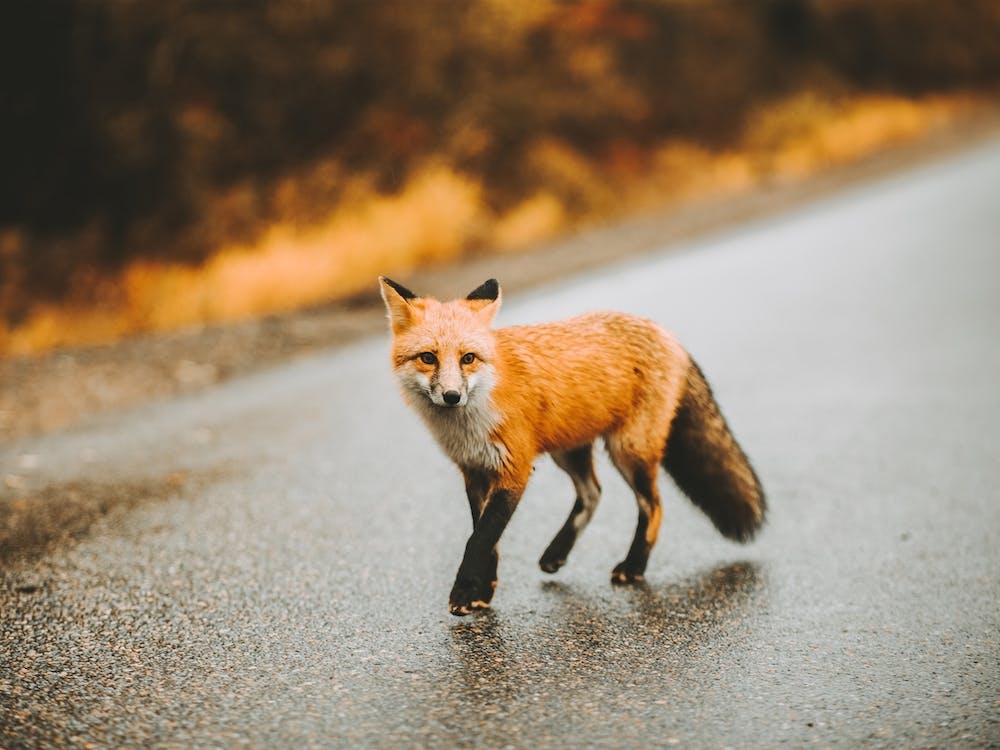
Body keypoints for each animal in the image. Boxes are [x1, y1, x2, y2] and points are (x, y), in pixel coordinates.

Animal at [379, 276, 765, 616]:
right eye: (428, 357)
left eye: (468, 358)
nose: (451, 396)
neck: (472, 419)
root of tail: (664, 332)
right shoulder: (474, 471)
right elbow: (487, 539)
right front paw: (483, 591)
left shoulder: (514, 469)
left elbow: (480, 539)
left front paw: (464, 592)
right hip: (569, 450)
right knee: (593, 493)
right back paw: (557, 552)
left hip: (628, 450)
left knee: (652, 506)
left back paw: (634, 566)